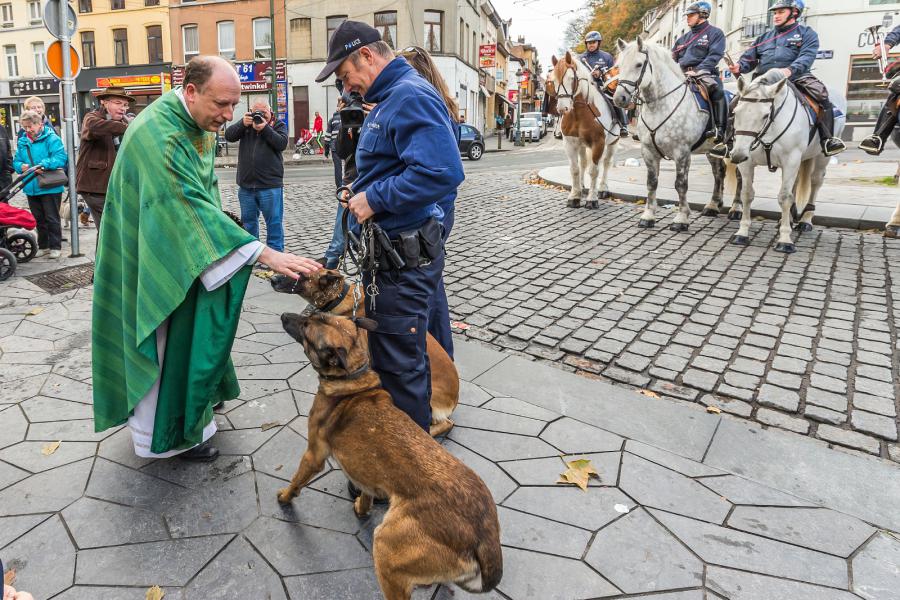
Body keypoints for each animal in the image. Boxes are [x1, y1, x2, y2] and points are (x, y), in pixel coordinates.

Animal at [276, 312, 500, 596]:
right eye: (312, 316)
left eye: (306, 326)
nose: (284, 315)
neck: (353, 381)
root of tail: (484, 535)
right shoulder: (367, 474)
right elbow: (366, 494)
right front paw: (361, 509)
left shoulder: (313, 455)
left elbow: (297, 481)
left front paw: (285, 497)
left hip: (386, 551)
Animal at [544, 52, 624, 211]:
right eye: (553, 81)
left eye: (571, 78)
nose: (562, 109)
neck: (579, 113)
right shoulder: (570, 143)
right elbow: (575, 169)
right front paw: (574, 196)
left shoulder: (598, 143)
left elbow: (594, 171)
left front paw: (592, 199)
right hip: (581, 145)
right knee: (583, 164)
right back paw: (581, 187)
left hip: (613, 143)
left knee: (606, 163)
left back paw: (603, 188)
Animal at [612, 37, 740, 230]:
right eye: (620, 65)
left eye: (639, 64)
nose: (619, 99)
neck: (660, 106)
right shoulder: (648, 151)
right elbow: (651, 183)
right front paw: (648, 216)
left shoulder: (682, 152)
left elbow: (681, 184)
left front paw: (681, 218)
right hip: (712, 150)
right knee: (719, 173)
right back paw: (713, 205)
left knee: (740, 177)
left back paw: (736, 209)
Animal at [728, 71, 848, 253]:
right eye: (735, 112)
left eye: (765, 115)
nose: (737, 155)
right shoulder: (746, 163)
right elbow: (747, 194)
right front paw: (742, 232)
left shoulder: (790, 160)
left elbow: (785, 197)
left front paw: (785, 240)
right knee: (796, 184)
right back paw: (790, 219)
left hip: (821, 157)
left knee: (815, 182)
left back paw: (805, 220)